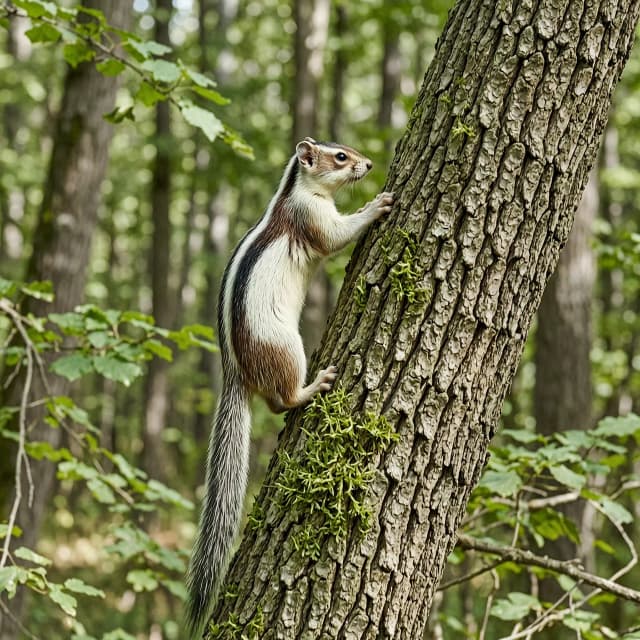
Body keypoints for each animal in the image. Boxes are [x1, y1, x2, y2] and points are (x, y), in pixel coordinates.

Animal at [185, 137, 394, 633]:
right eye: (340, 156)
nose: (369, 164)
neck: (296, 190)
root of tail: (236, 375)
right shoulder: (311, 217)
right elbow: (335, 236)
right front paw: (376, 206)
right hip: (284, 348)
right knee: (281, 401)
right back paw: (314, 385)